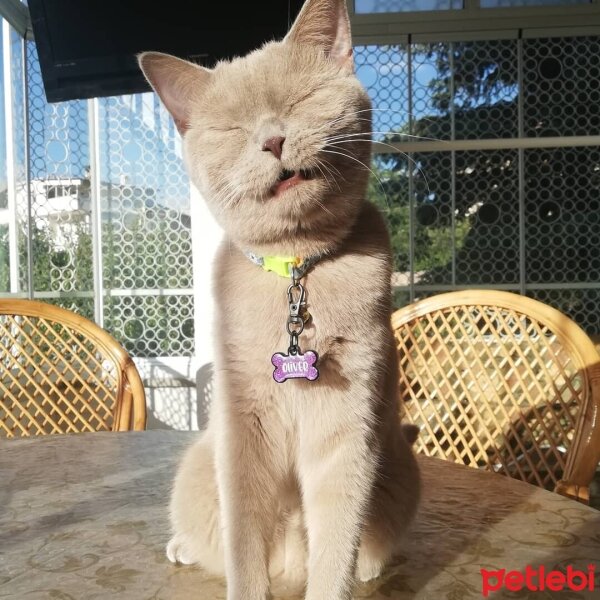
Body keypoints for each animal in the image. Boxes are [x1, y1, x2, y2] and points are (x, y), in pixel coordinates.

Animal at [139, 1, 422, 600]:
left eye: (300, 101)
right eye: (233, 129)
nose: (271, 139)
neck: (295, 266)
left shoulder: (348, 423)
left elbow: (337, 540)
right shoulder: (241, 424)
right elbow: (243, 540)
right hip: (199, 461)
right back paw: (182, 547)